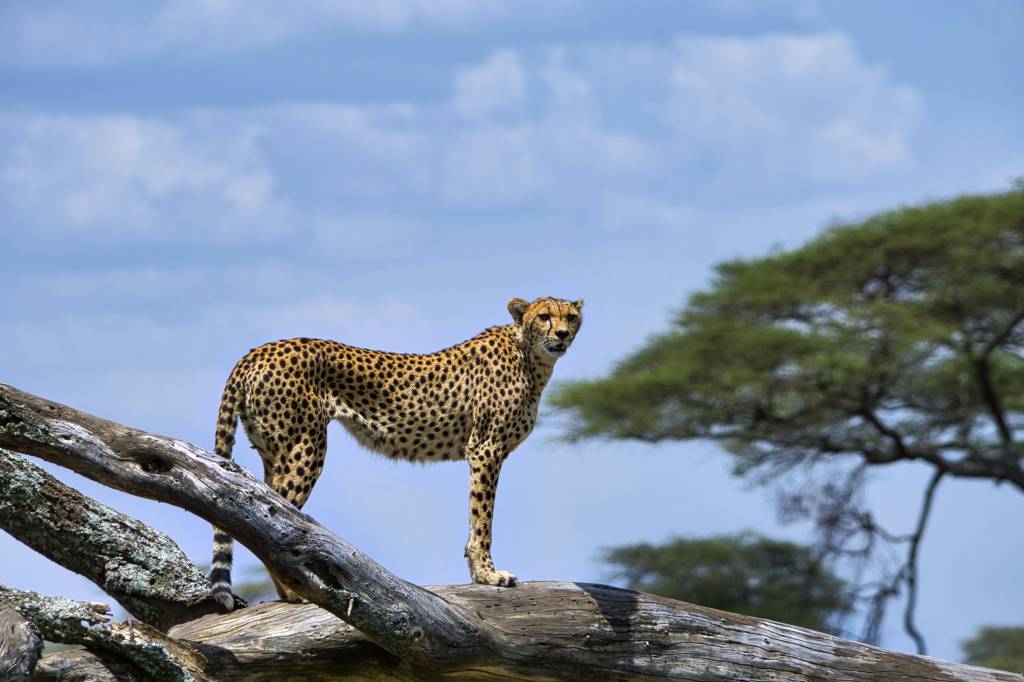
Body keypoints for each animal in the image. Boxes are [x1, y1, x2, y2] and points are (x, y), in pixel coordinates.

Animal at [207, 294, 581, 602]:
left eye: (572, 317)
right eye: (545, 316)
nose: (563, 334)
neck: (531, 356)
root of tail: (257, 351)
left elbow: (476, 518)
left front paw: (479, 574)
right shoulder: (485, 449)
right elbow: (482, 518)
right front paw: (489, 575)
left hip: (275, 452)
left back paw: (288, 592)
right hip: (305, 448)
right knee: (271, 519)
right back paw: (295, 592)